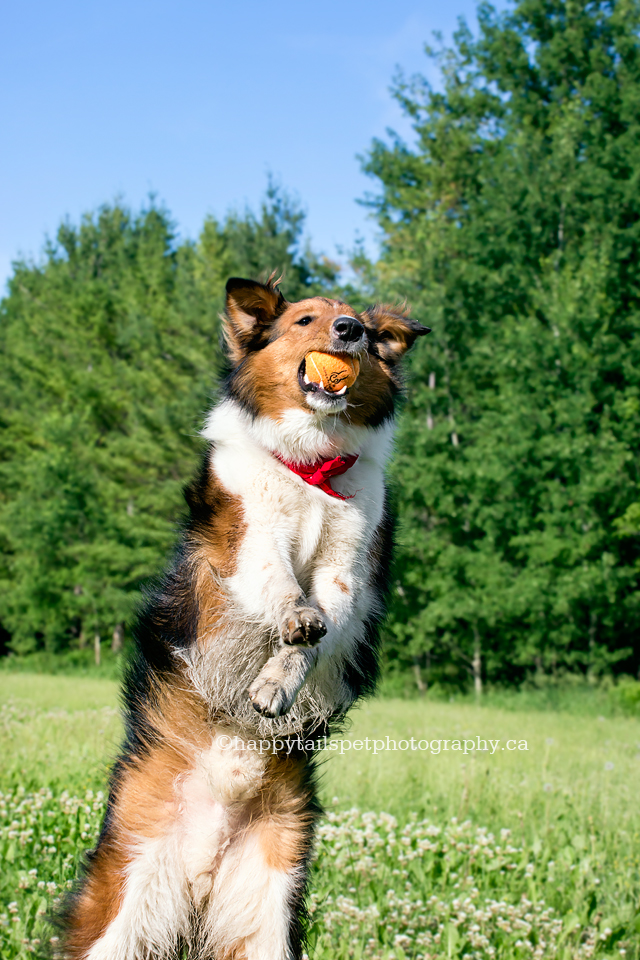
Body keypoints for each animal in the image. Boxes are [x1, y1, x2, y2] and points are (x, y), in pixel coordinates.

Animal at [60, 276, 430, 960]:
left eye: (362, 327)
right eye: (306, 320)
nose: (349, 331)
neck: (312, 466)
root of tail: (201, 872)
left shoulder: (348, 569)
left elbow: (320, 626)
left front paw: (276, 682)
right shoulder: (248, 540)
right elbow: (281, 586)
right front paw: (287, 631)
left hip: (269, 914)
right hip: (127, 893)